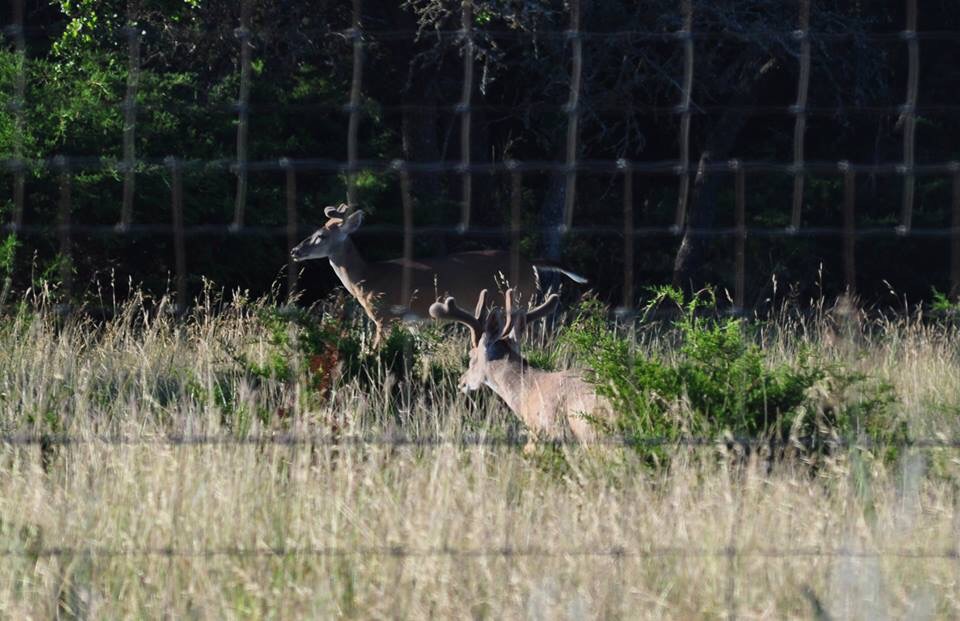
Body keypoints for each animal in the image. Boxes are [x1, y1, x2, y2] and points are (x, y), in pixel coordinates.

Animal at [290, 204, 587, 346]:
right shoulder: (411, 321)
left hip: (517, 299)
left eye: (321, 236)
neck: (367, 277)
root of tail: (529, 263)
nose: (295, 251)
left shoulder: (384, 315)